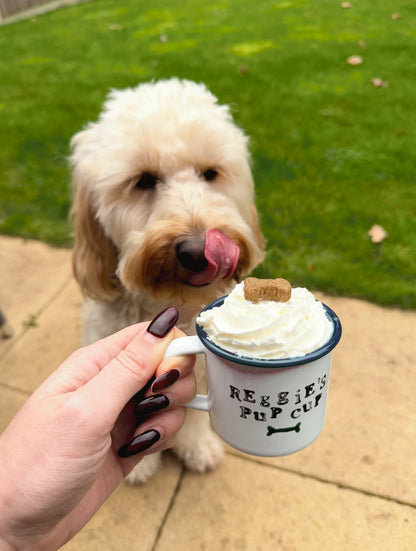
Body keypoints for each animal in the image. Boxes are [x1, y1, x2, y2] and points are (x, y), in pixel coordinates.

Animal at [70, 77, 264, 484]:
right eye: (143, 180)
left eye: (210, 173)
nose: (198, 251)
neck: (170, 302)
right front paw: (141, 463)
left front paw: (196, 446)